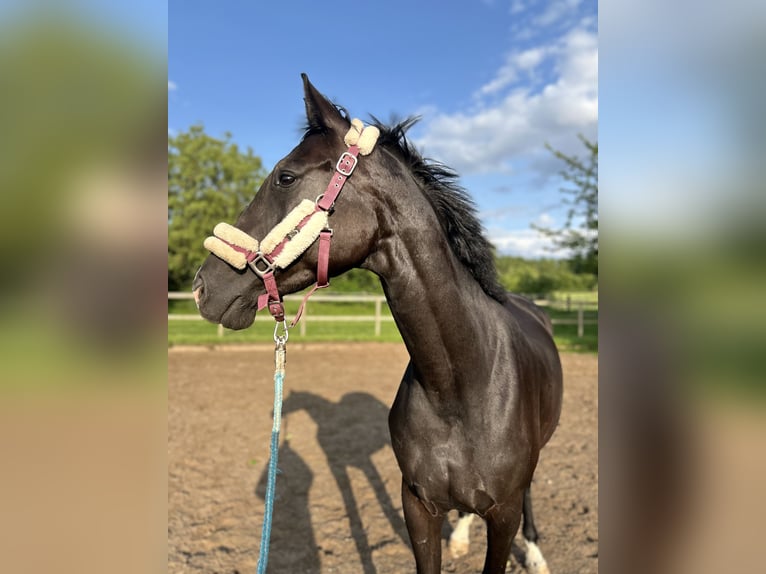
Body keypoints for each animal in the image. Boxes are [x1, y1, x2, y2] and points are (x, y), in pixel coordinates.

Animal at [193, 74, 563, 574]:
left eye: (285, 176)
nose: (202, 288)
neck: (460, 385)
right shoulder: (418, 507)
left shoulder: (502, 516)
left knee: (530, 498)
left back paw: (537, 553)